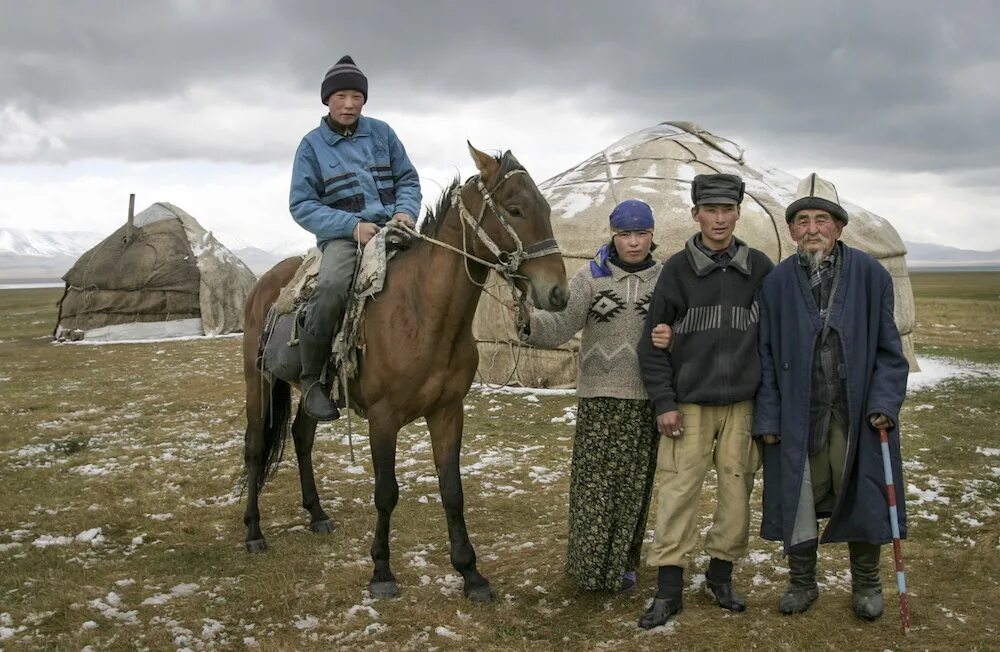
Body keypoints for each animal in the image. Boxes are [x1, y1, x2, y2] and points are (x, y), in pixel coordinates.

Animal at [240, 144, 572, 600]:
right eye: (516, 209)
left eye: (546, 208)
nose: (558, 293)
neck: (424, 313)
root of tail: (266, 283)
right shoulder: (384, 417)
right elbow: (385, 492)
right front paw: (381, 572)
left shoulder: (448, 411)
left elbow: (452, 491)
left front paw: (471, 574)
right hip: (257, 381)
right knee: (256, 448)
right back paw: (254, 532)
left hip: (313, 394)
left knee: (301, 437)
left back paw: (317, 514)